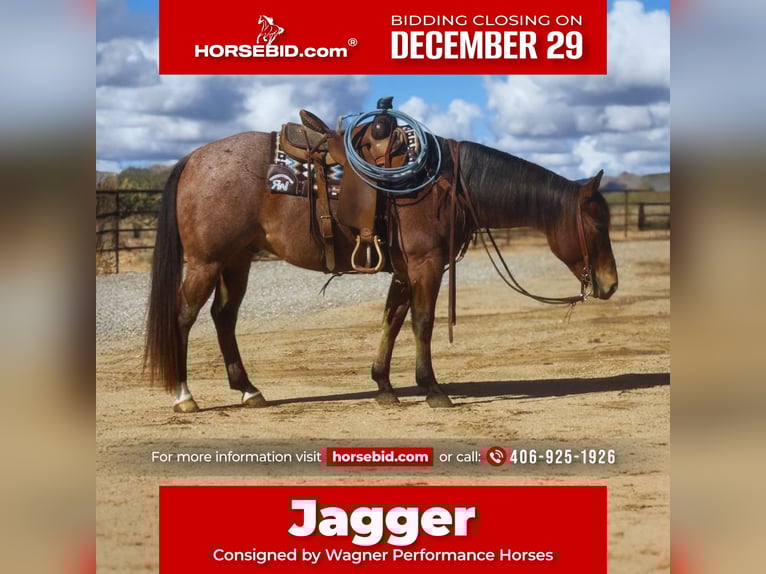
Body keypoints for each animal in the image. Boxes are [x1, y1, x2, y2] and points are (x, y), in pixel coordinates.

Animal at [144, 129, 618, 413]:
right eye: (598, 224)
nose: (611, 284)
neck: (446, 185)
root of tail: (193, 158)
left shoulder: (406, 270)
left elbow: (392, 320)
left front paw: (384, 387)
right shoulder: (427, 265)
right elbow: (422, 323)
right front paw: (432, 389)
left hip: (236, 261)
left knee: (224, 318)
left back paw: (249, 390)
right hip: (206, 262)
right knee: (183, 317)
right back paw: (185, 396)